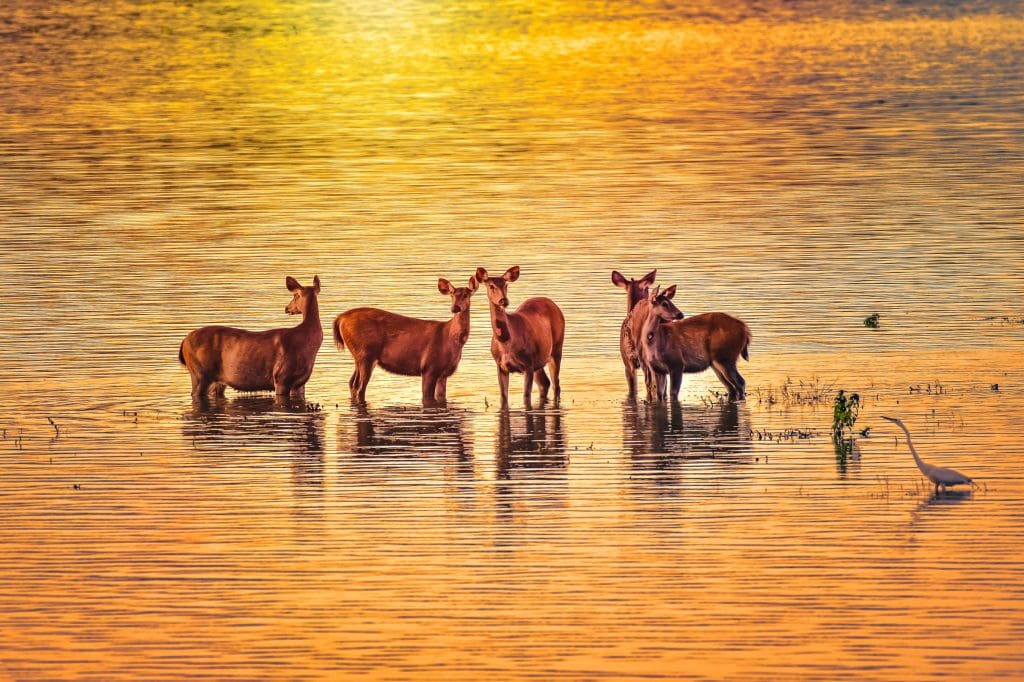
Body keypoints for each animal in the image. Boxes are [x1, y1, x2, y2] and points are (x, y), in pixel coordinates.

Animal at [178, 272, 323, 399]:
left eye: (295, 296)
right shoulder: (281, 378)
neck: (307, 343)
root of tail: (183, 342)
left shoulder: (300, 384)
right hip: (199, 374)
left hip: (215, 381)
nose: (286, 308)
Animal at [333, 274, 481, 401]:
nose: (455, 308)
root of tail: (340, 318)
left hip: (359, 356)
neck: (451, 339)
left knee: (351, 383)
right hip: (365, 354)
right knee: (359, 388)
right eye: (452, 294)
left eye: (466, 294)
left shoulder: (443, 373)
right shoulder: (429, 367)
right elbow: (426, 396)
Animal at [475, 264, 565, 403]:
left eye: (506, 285)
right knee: (545, 383)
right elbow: (503, 396)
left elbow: (526, 396)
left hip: (556, 348)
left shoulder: (528, 364)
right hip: (539, 359)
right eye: (491, 286)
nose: (503, 300)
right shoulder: (500, 365)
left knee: (556, 384)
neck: (506, 345)